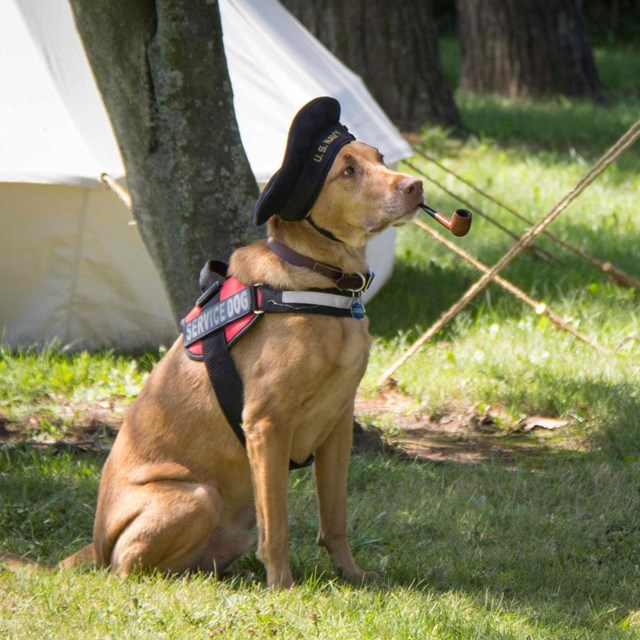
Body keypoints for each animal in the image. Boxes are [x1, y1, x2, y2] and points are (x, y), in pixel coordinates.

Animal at [8, 97, 424, 588]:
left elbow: (334, 516)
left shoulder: (337, 425)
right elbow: (278, 523)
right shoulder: (267, 424)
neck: (323, 284)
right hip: (196, 496)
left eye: (380, 158)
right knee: (126, 569)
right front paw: (283, 587)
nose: (415, 185)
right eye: (347, 171)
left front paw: (351, 574)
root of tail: (94, 544)